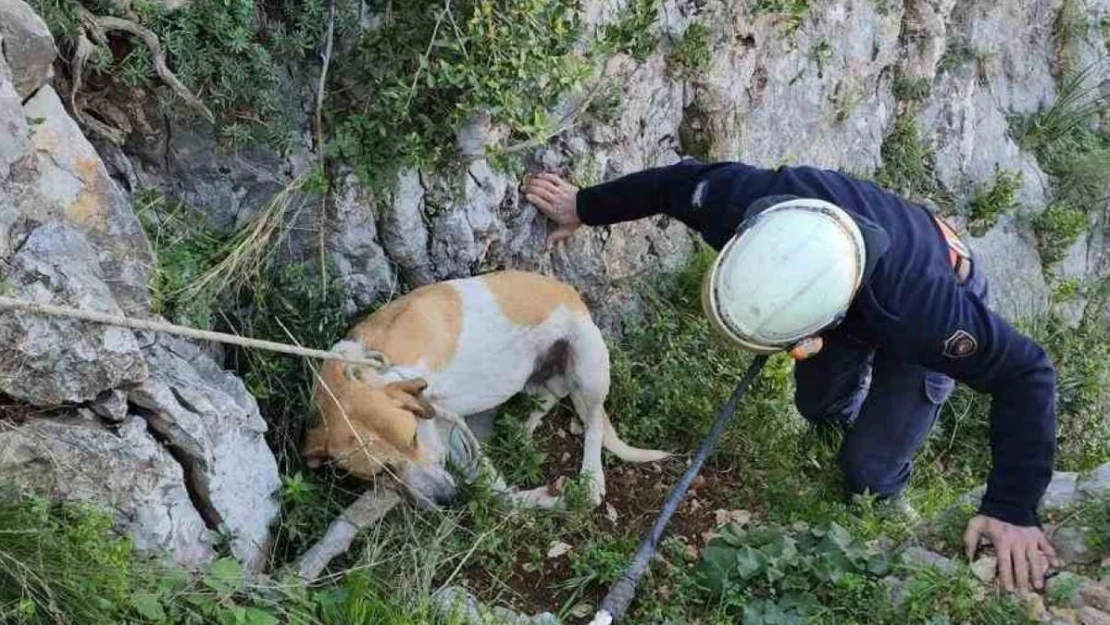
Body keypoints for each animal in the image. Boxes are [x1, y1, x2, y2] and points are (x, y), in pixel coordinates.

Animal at [299, 268, 670, 508]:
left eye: (413, 438)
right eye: (381, 473)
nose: (448, 500)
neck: (363, 368)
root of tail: (572, 294)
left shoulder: (446, 422)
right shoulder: (446, 428)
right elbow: (495, 490)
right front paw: (541, 499)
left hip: (588, 367)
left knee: (592, 425)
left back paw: (592, 478)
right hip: (537, 380)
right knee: (551, 395)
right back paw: (521, 431)